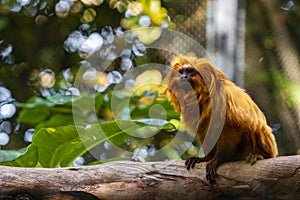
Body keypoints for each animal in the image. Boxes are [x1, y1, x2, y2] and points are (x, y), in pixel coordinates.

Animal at [165, 54, 278, 184]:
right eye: (181, 71)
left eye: (190, 71)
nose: (183, 76)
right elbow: (205, 131)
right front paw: (205, 158)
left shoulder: (223, 99)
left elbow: (234, 127)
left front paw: (217, 160)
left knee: (255, 125)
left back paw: (257, 155)